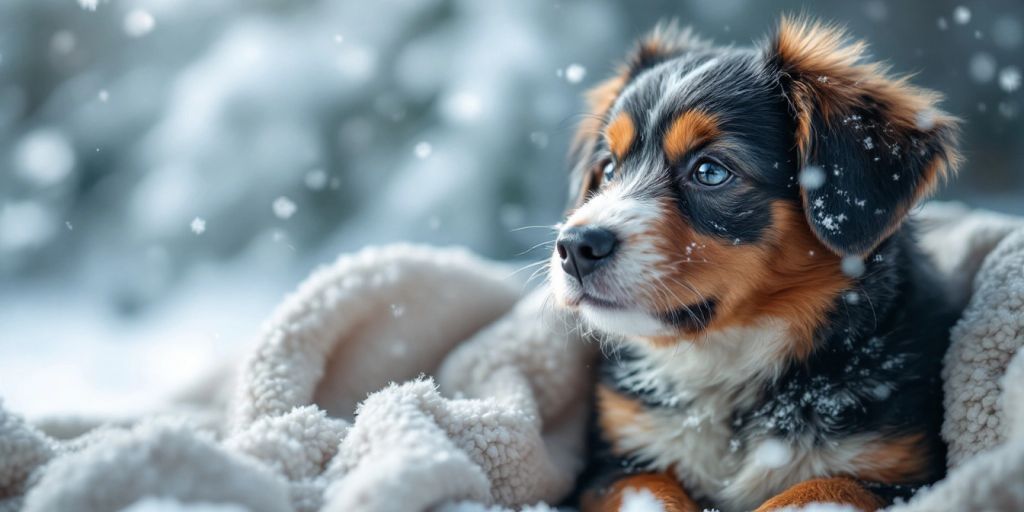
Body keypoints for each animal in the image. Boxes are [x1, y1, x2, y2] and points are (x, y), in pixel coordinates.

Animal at [552, 16, 958, 512]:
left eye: (710, 172)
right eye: (608, 169)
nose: (574, 247)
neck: (728, 361)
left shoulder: (905, 475)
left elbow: (818, 488)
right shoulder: (614, 464)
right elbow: (651, 490)